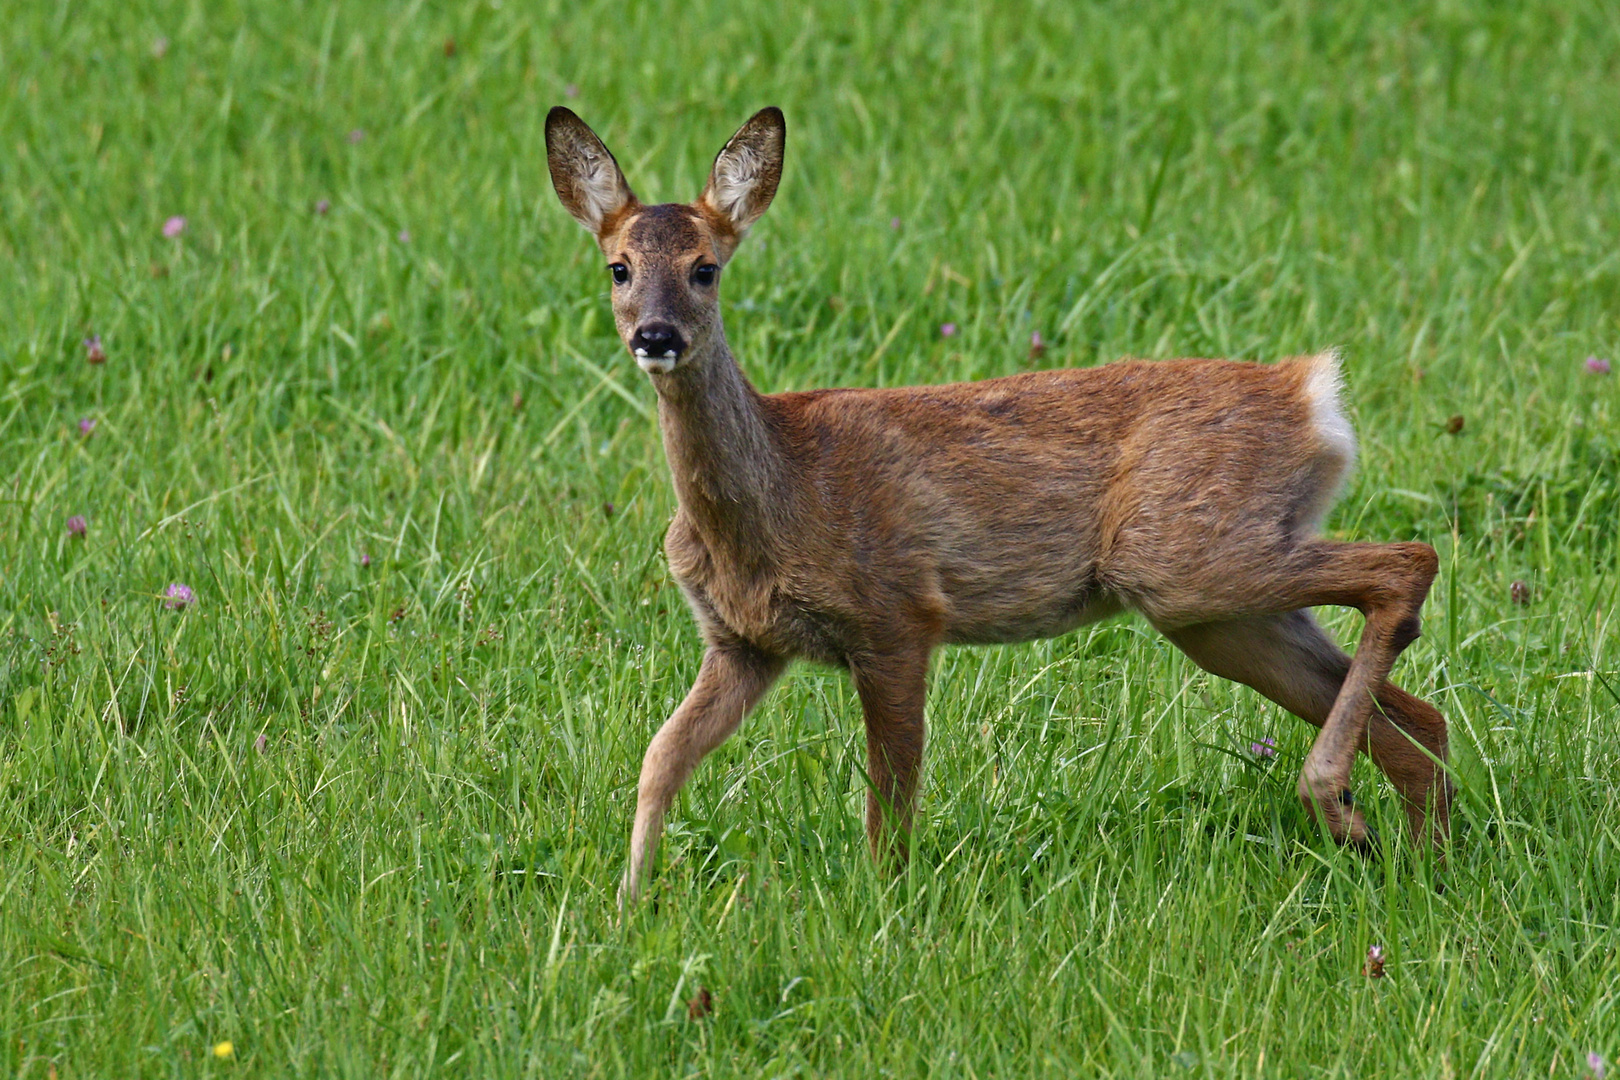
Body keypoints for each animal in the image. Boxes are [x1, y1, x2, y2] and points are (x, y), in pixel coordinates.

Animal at [547, 105, 1458, 906]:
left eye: (706, 268)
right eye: (618, 267)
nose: (656, 336)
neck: (778, 495)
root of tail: (1314, 397)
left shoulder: (898, 614)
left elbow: (890, 803)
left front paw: (884, 911)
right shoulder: (742, 643)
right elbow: (660, 759)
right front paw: (628, 904)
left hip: (1187, 559)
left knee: (1407, 564)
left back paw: (1337, 803)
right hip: (1217, 613)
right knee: (1421, 718)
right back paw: (1405, 853)